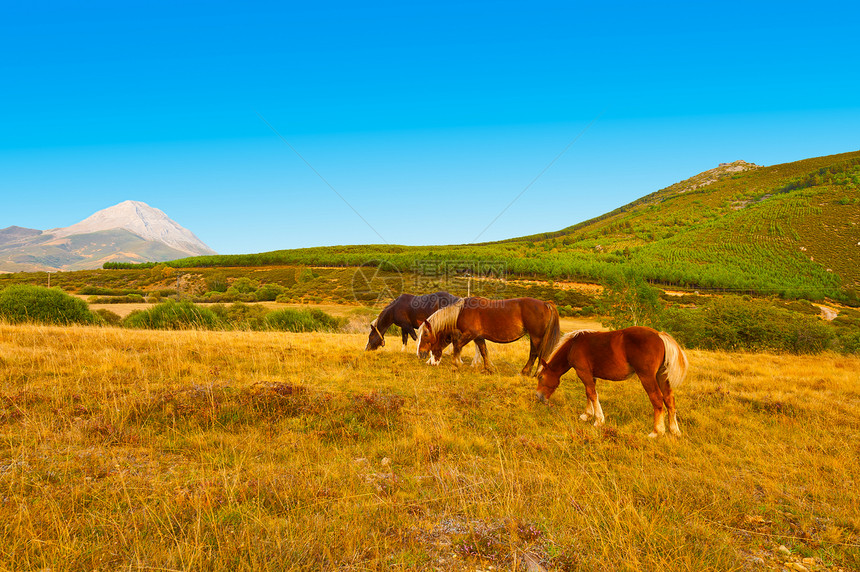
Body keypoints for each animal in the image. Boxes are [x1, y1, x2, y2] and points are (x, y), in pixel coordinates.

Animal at [414, 298, 560, 378]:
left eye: (425, 334)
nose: (421, 354)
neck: (462, 311)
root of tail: (545, 304)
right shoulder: (478, 337)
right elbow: (484, 351)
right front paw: (488, 369)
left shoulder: (470, 334)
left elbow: (457, 346)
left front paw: (455, 365)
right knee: (534, 354)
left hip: (536, 336)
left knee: (537, 354)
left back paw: (531, 373)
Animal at [540, 326, 688, 438]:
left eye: (540, 377)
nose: (539, 397)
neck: (573, 345)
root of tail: (659, 335)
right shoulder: (590, 376)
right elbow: (589, 394)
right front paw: (587, 415)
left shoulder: (583, 373)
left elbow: (592, 394)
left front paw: (598, 420)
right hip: (662, 376)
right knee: (669, 399)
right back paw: (674, 430)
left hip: (647, 377)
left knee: (657, 399)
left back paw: (657, 431)